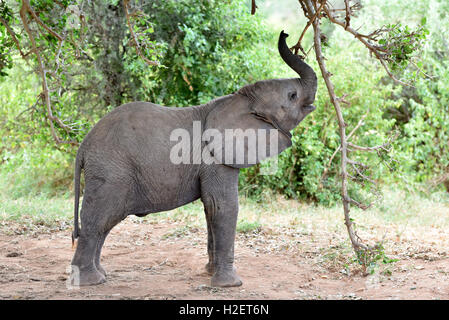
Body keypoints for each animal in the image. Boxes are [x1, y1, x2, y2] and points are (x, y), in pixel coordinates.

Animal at [70, 30, 316, 288]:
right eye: (292, 96)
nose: (285, 33)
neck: (241, 100)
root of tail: (84, 146)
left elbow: (210, 208)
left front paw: (210, 273)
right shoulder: (216, 159)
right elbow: (223, 206)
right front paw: (231, 284)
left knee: (102, 225)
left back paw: (100, 275)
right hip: (111, 171)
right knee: (99, 219)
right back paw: (89, 281)